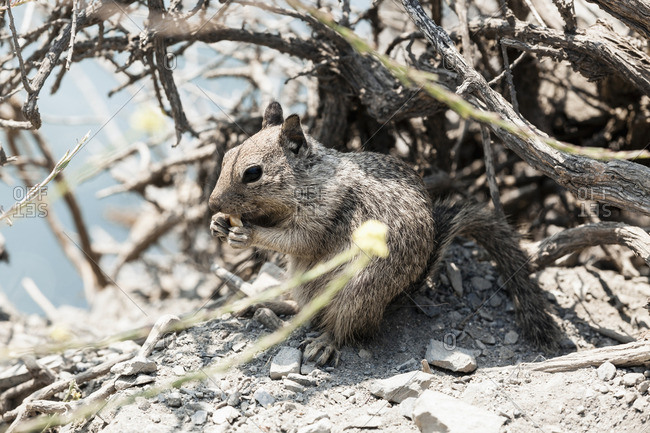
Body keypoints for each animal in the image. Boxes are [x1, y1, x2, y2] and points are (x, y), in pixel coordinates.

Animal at [209, 102, 561, 364]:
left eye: (253, 173)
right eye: (226, 157)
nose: (212, 202)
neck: (310, 179)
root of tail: (395, 299)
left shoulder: (326, 211)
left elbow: (298, 241)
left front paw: (248, 235)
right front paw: (218, 224)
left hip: (357, 292)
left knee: (342, 325)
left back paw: (324, 343)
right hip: (305, 283)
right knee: (306, 309)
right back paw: (269, 304)